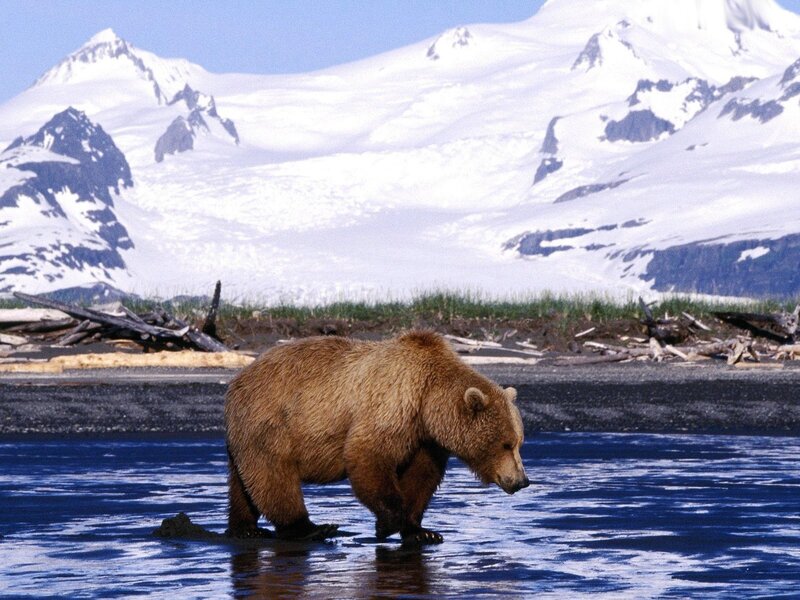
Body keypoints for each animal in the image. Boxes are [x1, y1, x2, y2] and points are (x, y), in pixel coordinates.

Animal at [224, 330, 529, 546]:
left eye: (519, 442)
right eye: (505, 444)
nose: (522, 481)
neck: (428, 400)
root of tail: (238, 379)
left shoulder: (425, 439)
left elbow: (421, 477)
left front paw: (421, 531)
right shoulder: (393, 404)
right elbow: (368, 454)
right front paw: (387, 524)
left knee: (244, 482)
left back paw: (246, 529)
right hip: (271, 420)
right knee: (273, 474)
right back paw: (310, 528)